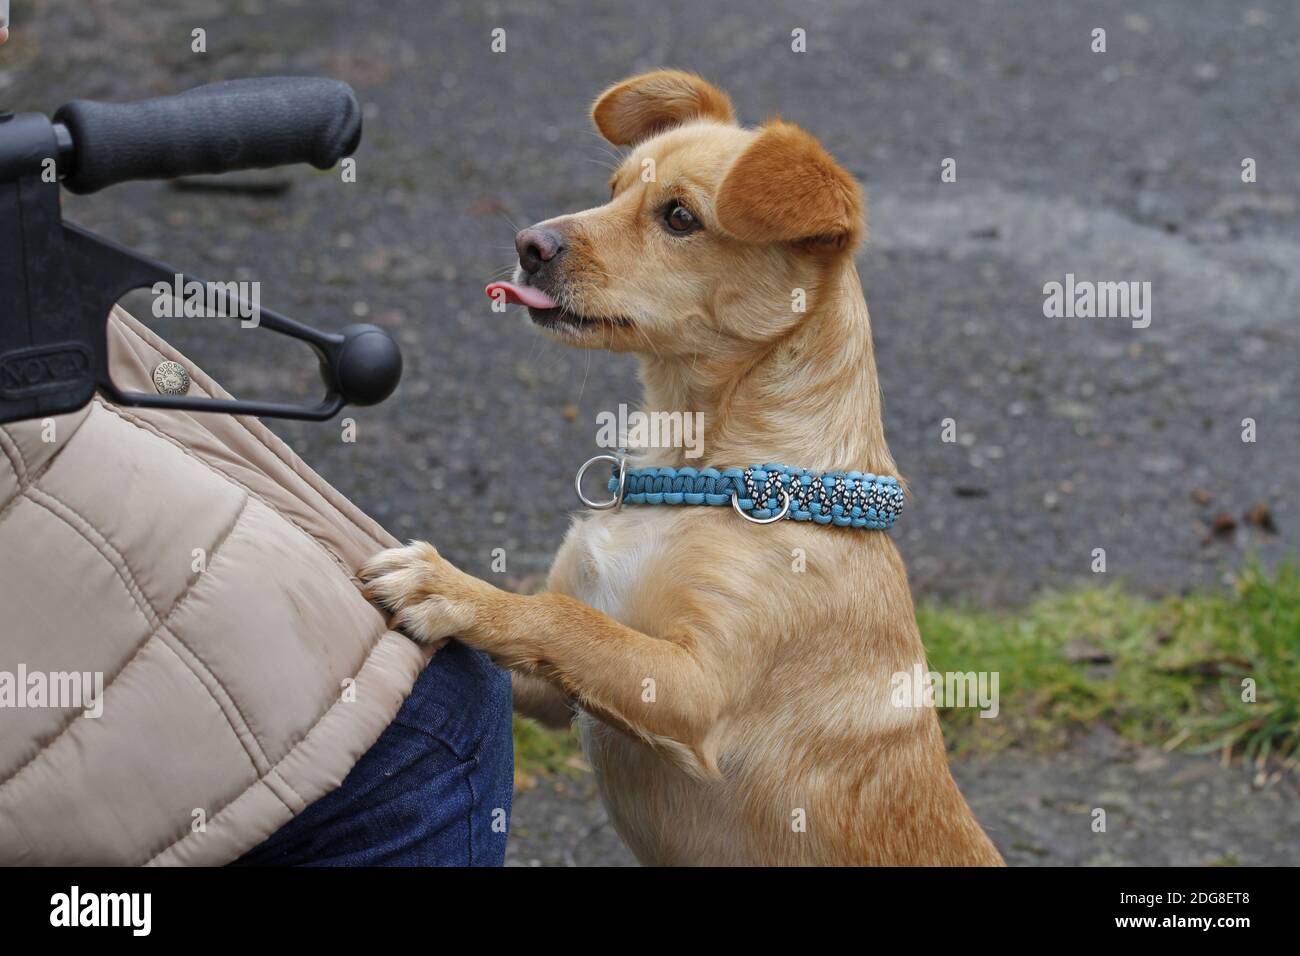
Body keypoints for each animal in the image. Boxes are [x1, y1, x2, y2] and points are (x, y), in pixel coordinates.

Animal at [366, 70, 1003, 868]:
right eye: (610, 190)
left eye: (678, 217)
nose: (527, 244)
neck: (698, 473)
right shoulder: (552, 697)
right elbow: (560, 625)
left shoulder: (694, 691)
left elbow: (566, 619)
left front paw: (447, 585)